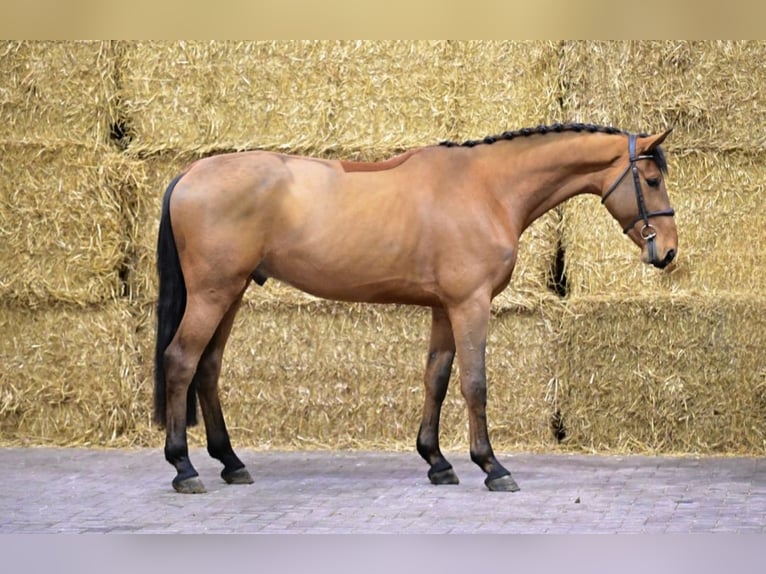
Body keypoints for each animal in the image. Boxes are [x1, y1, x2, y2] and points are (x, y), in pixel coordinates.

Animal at [154, 122, 678, 494]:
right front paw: (491, 466)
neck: (486, 188)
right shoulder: (470, 304)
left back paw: (230, 462)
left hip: (233, 292)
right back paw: (184, 467)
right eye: (652, 179)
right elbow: (474, 384)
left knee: (208, 366)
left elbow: (437, 378)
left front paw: (437, 461)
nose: (668, 251)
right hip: (213, 293)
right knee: (181, 361)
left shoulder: (445, 308)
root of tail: (189, 174)